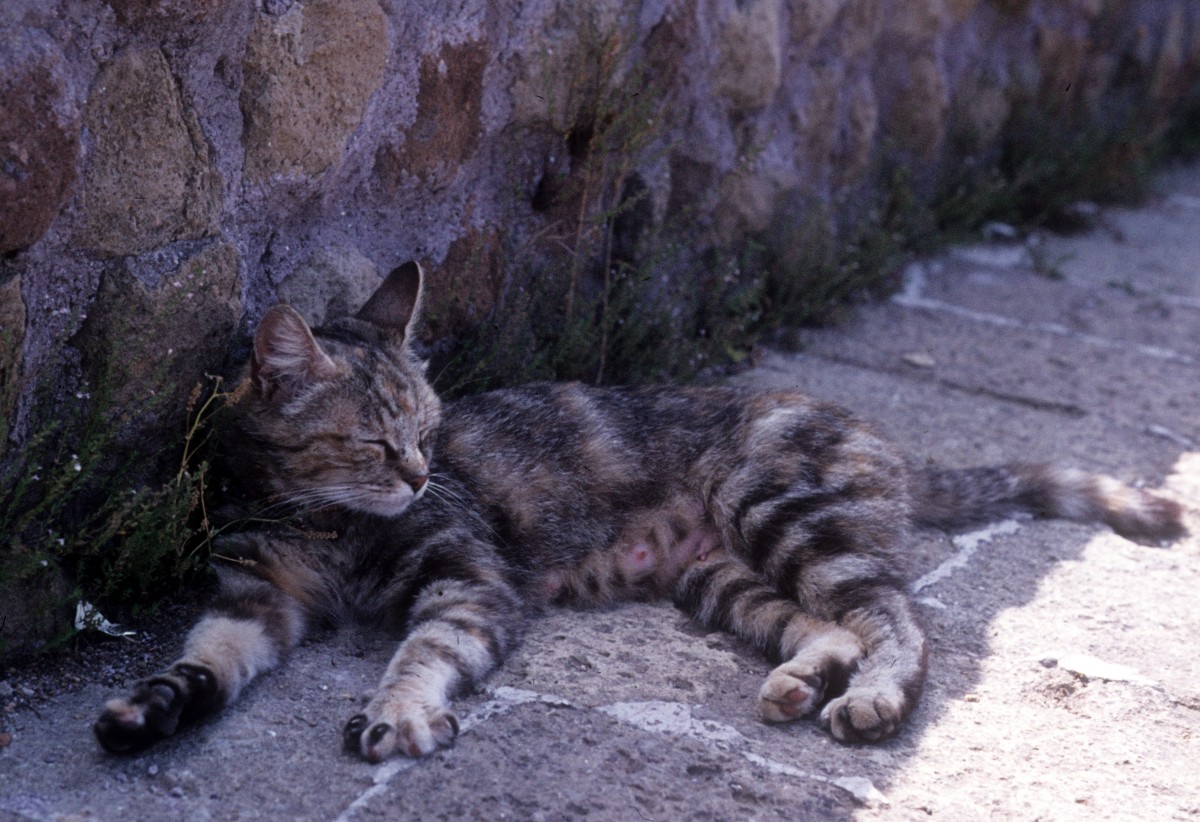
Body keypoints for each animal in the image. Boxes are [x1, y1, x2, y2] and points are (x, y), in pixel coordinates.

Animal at [91, 259, 1180, 758]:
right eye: (372, 440)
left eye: (430, 432)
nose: (417, 476)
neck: (320, 523)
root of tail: (874, 429)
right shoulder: (254, 598)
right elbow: (203, 659)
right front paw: (148, 710)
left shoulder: (469, 581)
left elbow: (421, 650)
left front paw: (397, 711)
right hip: (723, 577)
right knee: (832, 625)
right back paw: (802, 681)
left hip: (779, 513)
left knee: (899, 619)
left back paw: (872, 698)